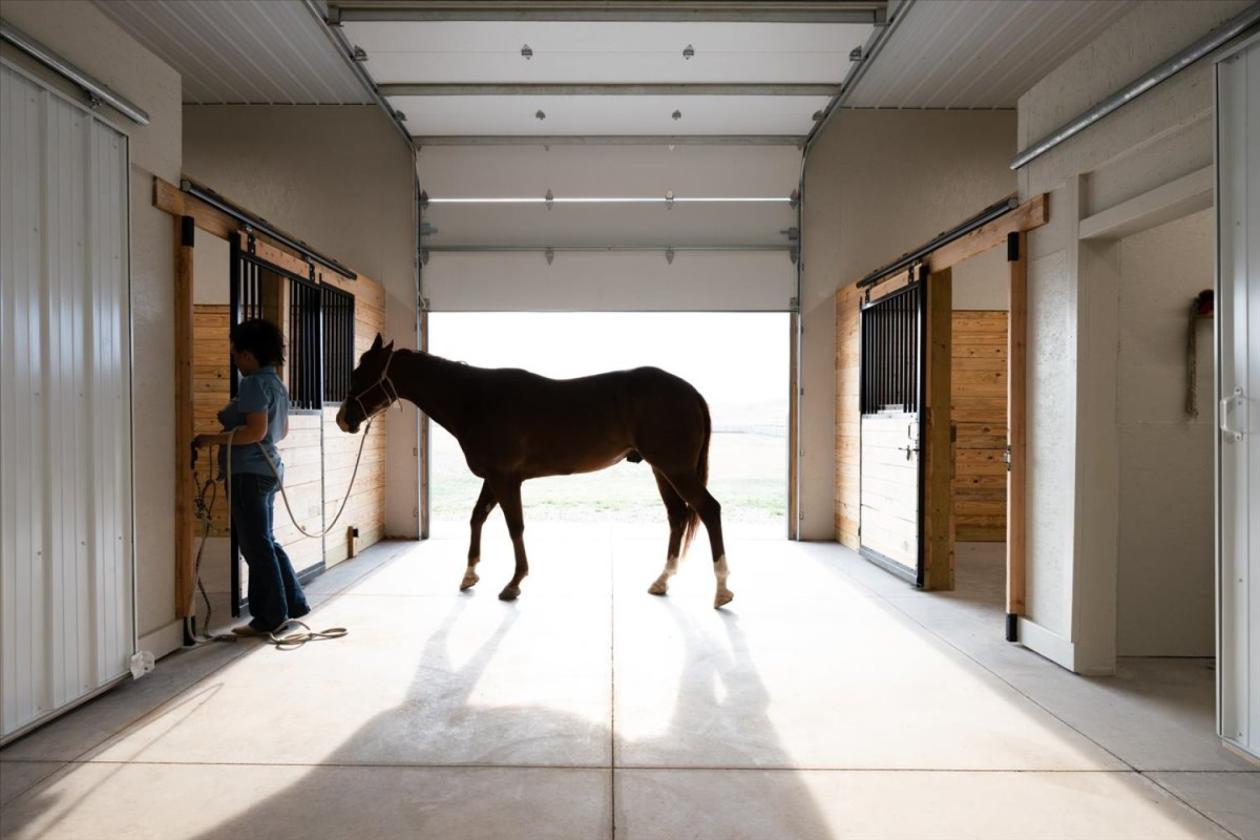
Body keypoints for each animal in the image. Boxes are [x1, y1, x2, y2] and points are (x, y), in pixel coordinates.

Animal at [335, 334, 733, 609]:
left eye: (362, 374)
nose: (343, 419)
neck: (474, 400)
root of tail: (690, 391)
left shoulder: (505, 480)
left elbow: (515, 527)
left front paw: (513, 583)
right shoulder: (493, 479)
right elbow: (477, 517)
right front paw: (470, 574)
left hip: (675, 469)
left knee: (708, 509)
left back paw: (722, 590)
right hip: (661, 470)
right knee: (678, 516)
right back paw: (662, 581)